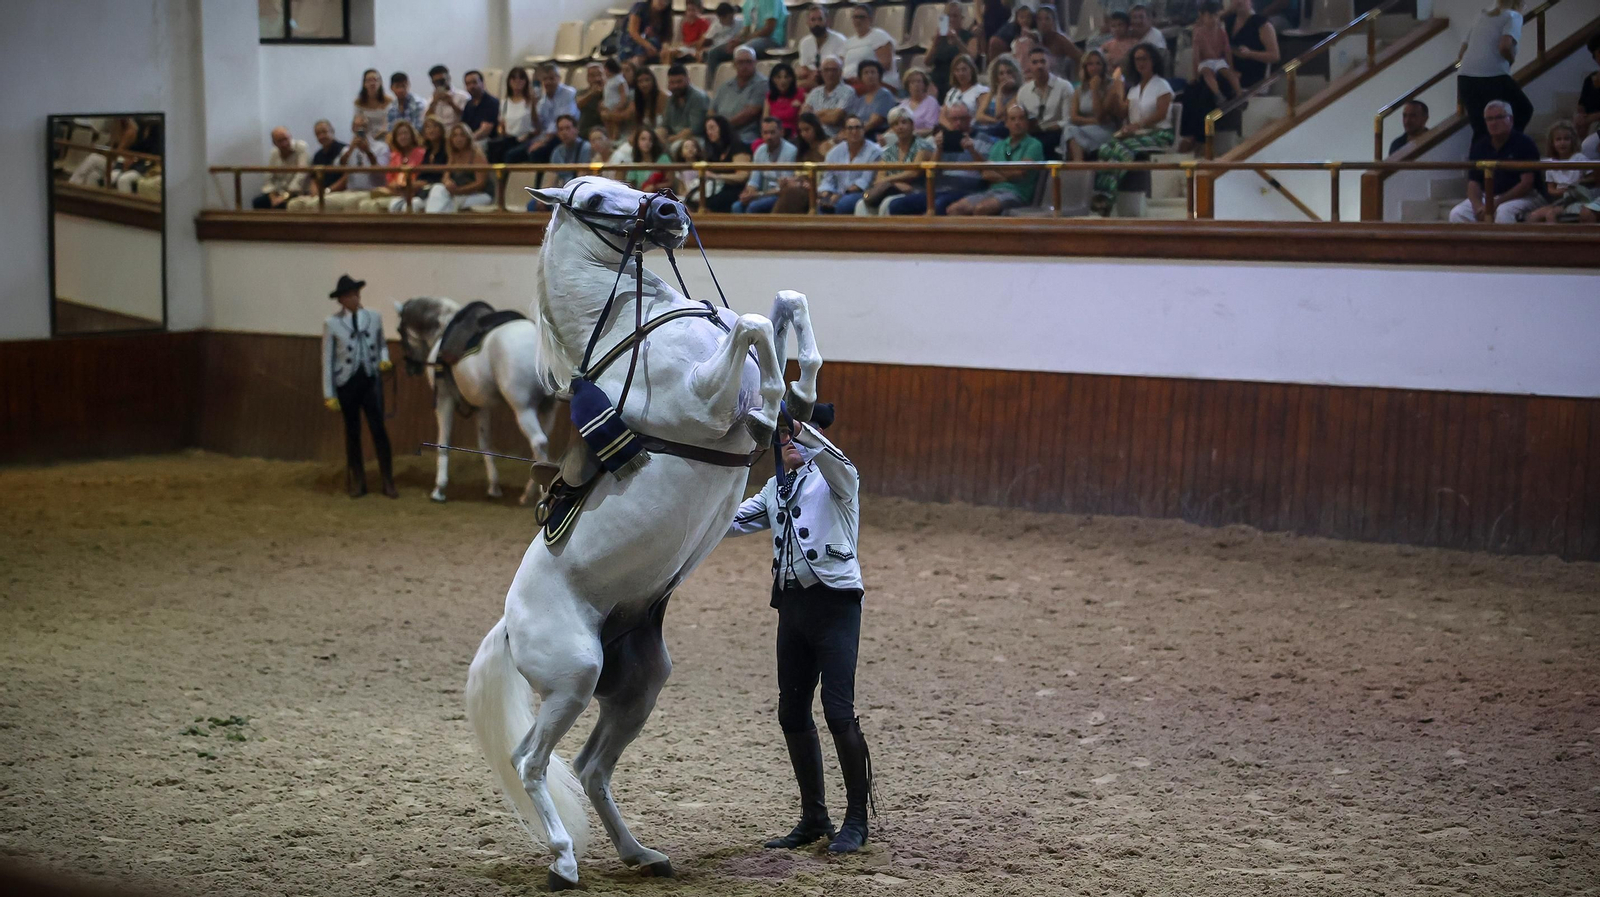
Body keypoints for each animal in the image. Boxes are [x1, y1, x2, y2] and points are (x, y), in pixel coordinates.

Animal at [394, 297, 558, 504]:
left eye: (400, 330)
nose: (410, 368)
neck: (442, 332)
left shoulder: (444, 398)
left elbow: (444, 441)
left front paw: (439, 489)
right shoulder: (482, 406)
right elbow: (484, 442)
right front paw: (494, 487)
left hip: (524, 409)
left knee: (539, 442)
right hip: (547, 408)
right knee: (543, 443)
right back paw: (528, 494)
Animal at [463, 177, 823, 890]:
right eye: (595, 200)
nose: (671, 210)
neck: (640, 327)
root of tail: (509, 625)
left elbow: (784, 305)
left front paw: (794, 398)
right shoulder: (707, 400)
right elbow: (753, 324)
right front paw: (770, 408)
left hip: (637, 686)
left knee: (591, 767)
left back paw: (641, 855)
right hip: (574, 677)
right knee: (531, 761)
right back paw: (564, 862)